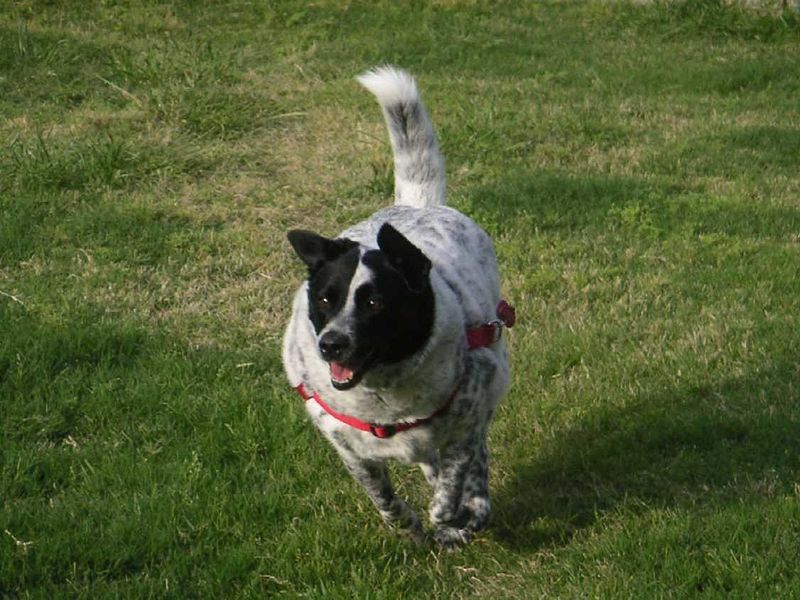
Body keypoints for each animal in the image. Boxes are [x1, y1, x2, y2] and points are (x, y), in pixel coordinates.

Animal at [284, 67, 516, 548]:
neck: (385, 393)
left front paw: (448, 515)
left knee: (471, 465)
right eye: (325, 299)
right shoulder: (347, 446)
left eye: (375, 302)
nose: (331, 345)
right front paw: (409, 524)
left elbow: (454, 479)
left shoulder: (468, 414)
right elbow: (384, 498)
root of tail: (414, 205)